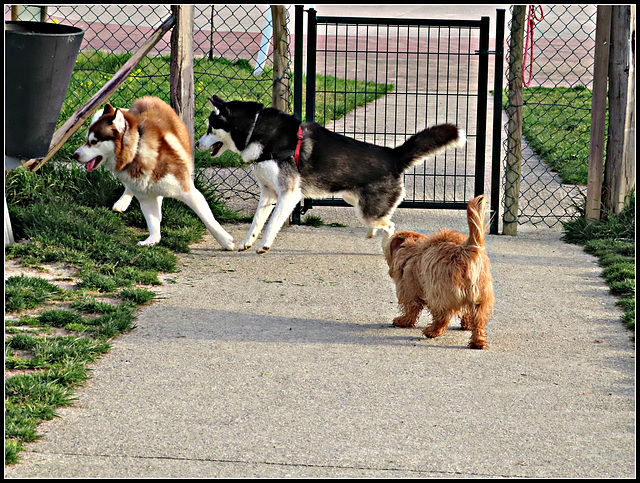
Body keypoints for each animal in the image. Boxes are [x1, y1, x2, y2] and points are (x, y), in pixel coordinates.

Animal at [384, 197, 496, 352]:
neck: (411, 250)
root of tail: (465, 250)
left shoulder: (409, 290)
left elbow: (411, 309)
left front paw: (403, 321)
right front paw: (466, 324)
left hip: (438, 294)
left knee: (443, 317)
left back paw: (431, 331)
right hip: (480, 298)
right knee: (478, 320)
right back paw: (478, 342)